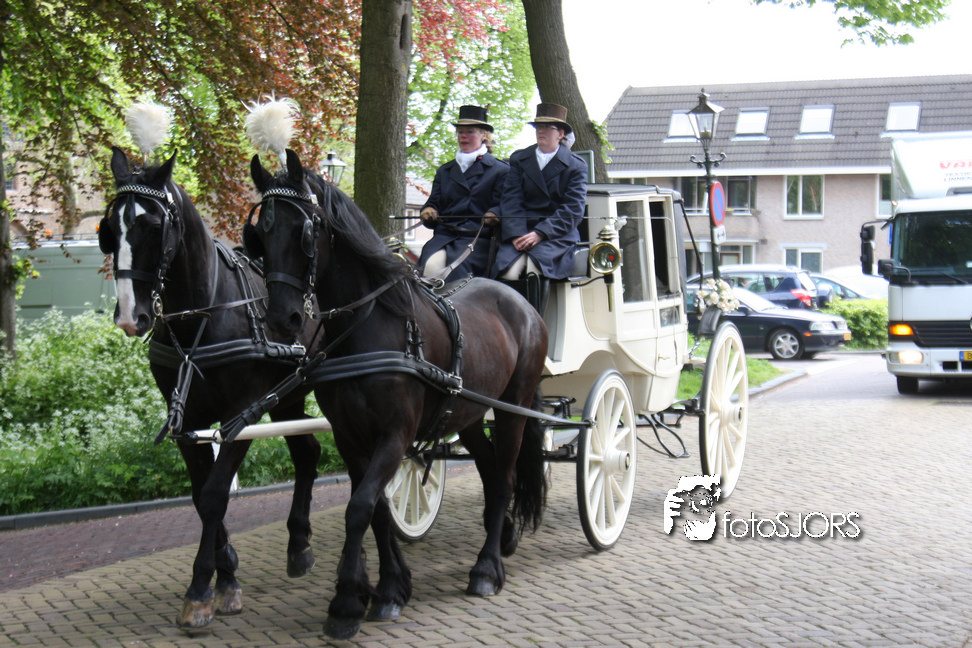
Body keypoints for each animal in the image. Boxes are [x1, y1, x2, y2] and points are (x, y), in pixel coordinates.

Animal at [99, 146, 323, 628]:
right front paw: (226, 577)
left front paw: (202, 588)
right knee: (308, 454)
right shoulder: (187, 420)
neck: (202, 313)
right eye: (109, 230)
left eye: (152, 226)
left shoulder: (240, 413)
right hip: (288, 398)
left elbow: (217, 493)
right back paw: (298, 546)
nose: (130, 316)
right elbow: (201, 498)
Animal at [243, 148, 550, 639]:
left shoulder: (395, 434)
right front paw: (389, 589)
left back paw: (486, 569)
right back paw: (500, 536)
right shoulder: (350, 437)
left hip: (513, 409)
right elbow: (377, 510)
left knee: (503, 479)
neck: (366, 325)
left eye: (305, 230)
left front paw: (347, 603)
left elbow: (359, 508)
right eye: (259, 234)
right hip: (468, 412)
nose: (281, 318)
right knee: (488, 471)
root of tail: (519, 301)